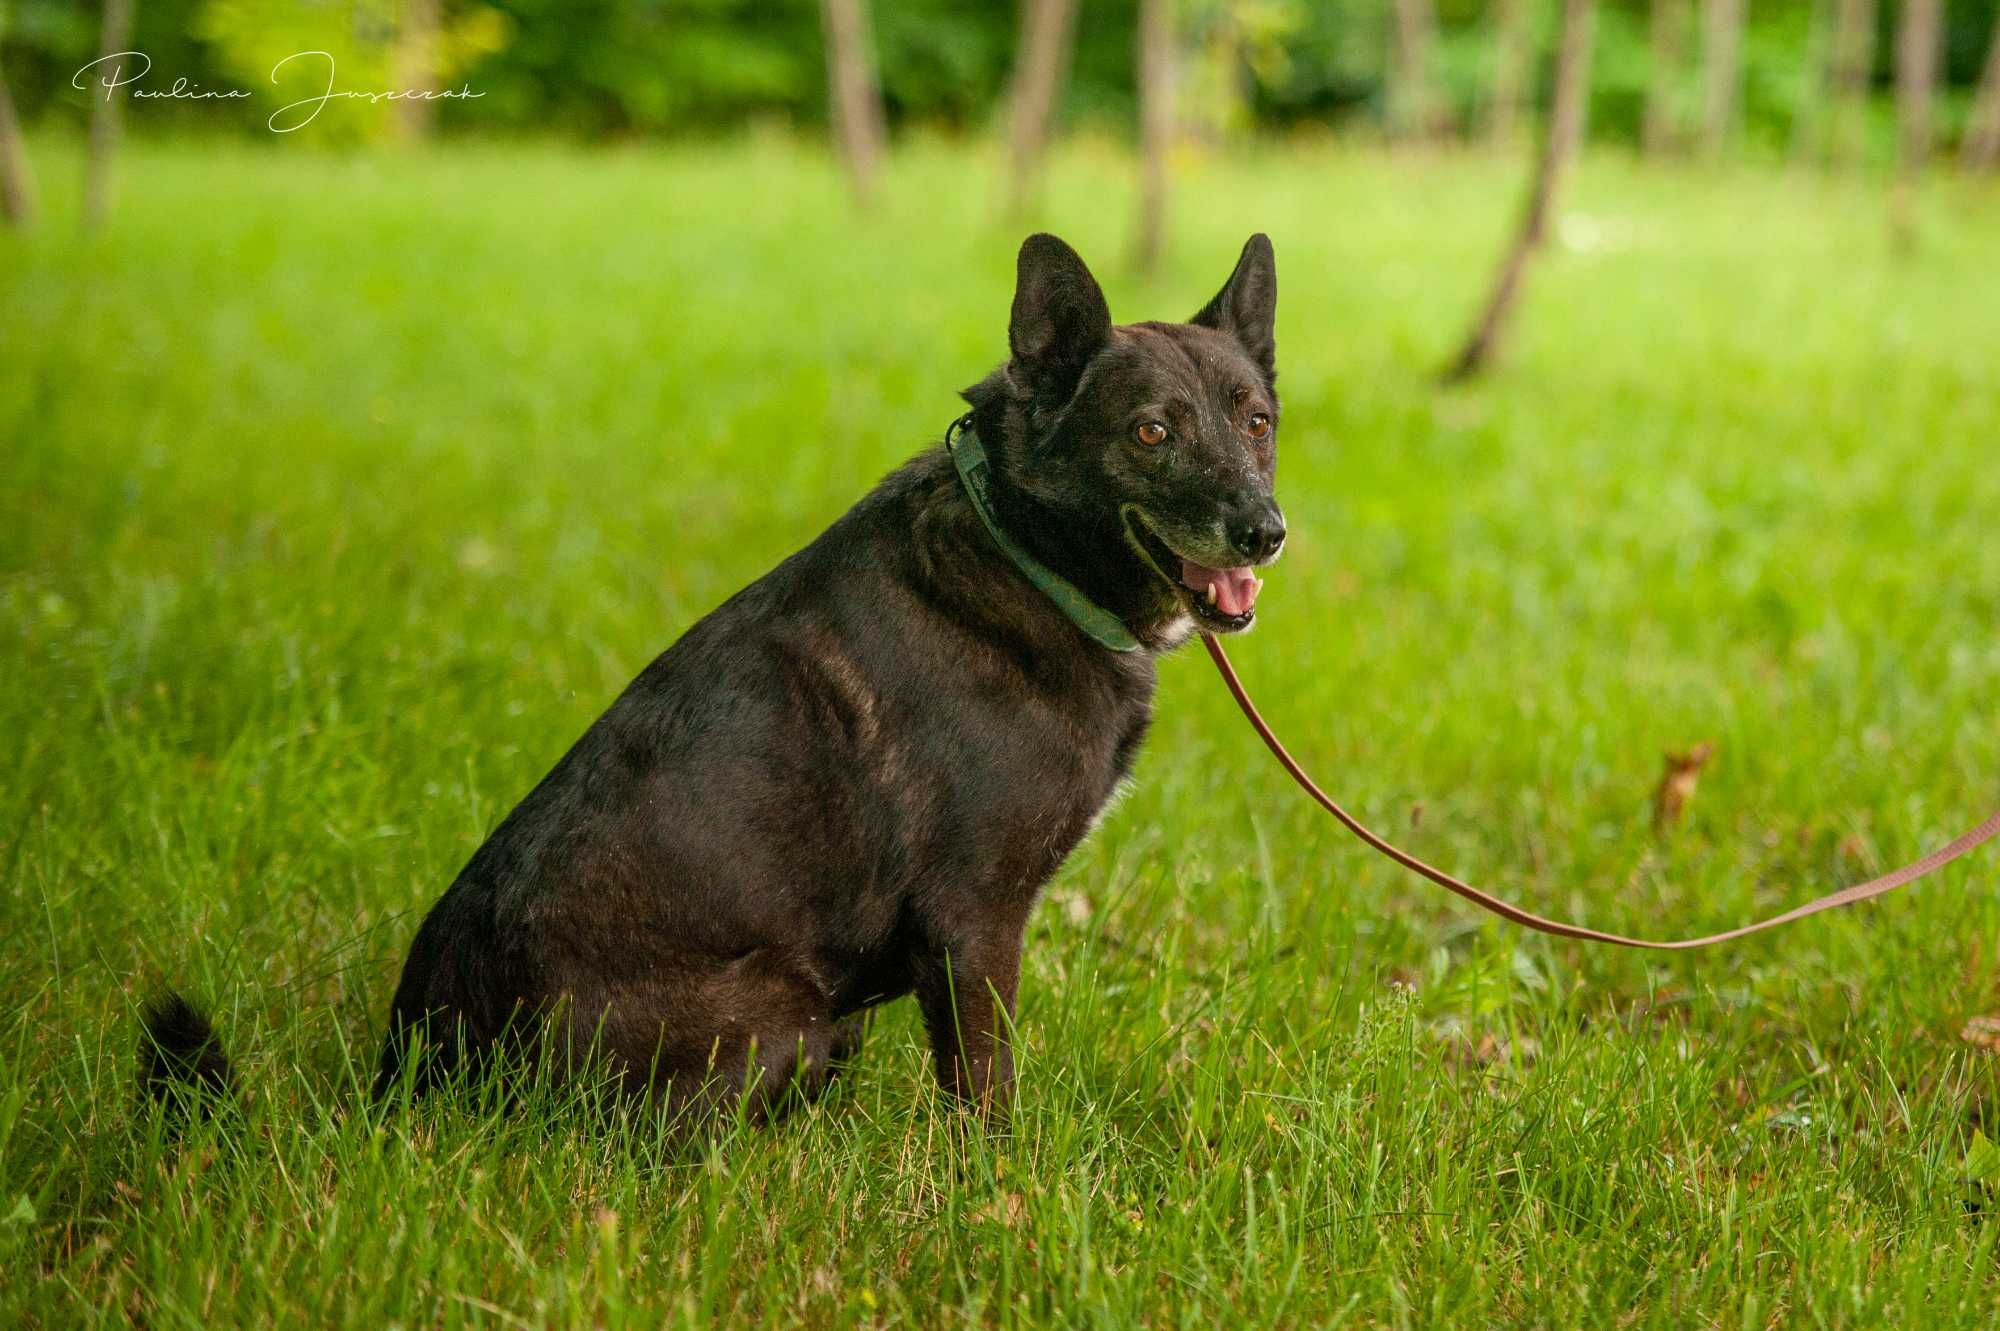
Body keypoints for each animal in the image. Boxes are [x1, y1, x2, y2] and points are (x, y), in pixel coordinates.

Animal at [148, 232, 1288, 1111]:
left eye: (1257, 422)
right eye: (1150, 431)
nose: (1264, 532)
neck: (1023, 546)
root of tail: (413, 1073)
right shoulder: (971, 925)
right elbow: (984, 1096)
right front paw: (994, 1203)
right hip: (785, 1015)